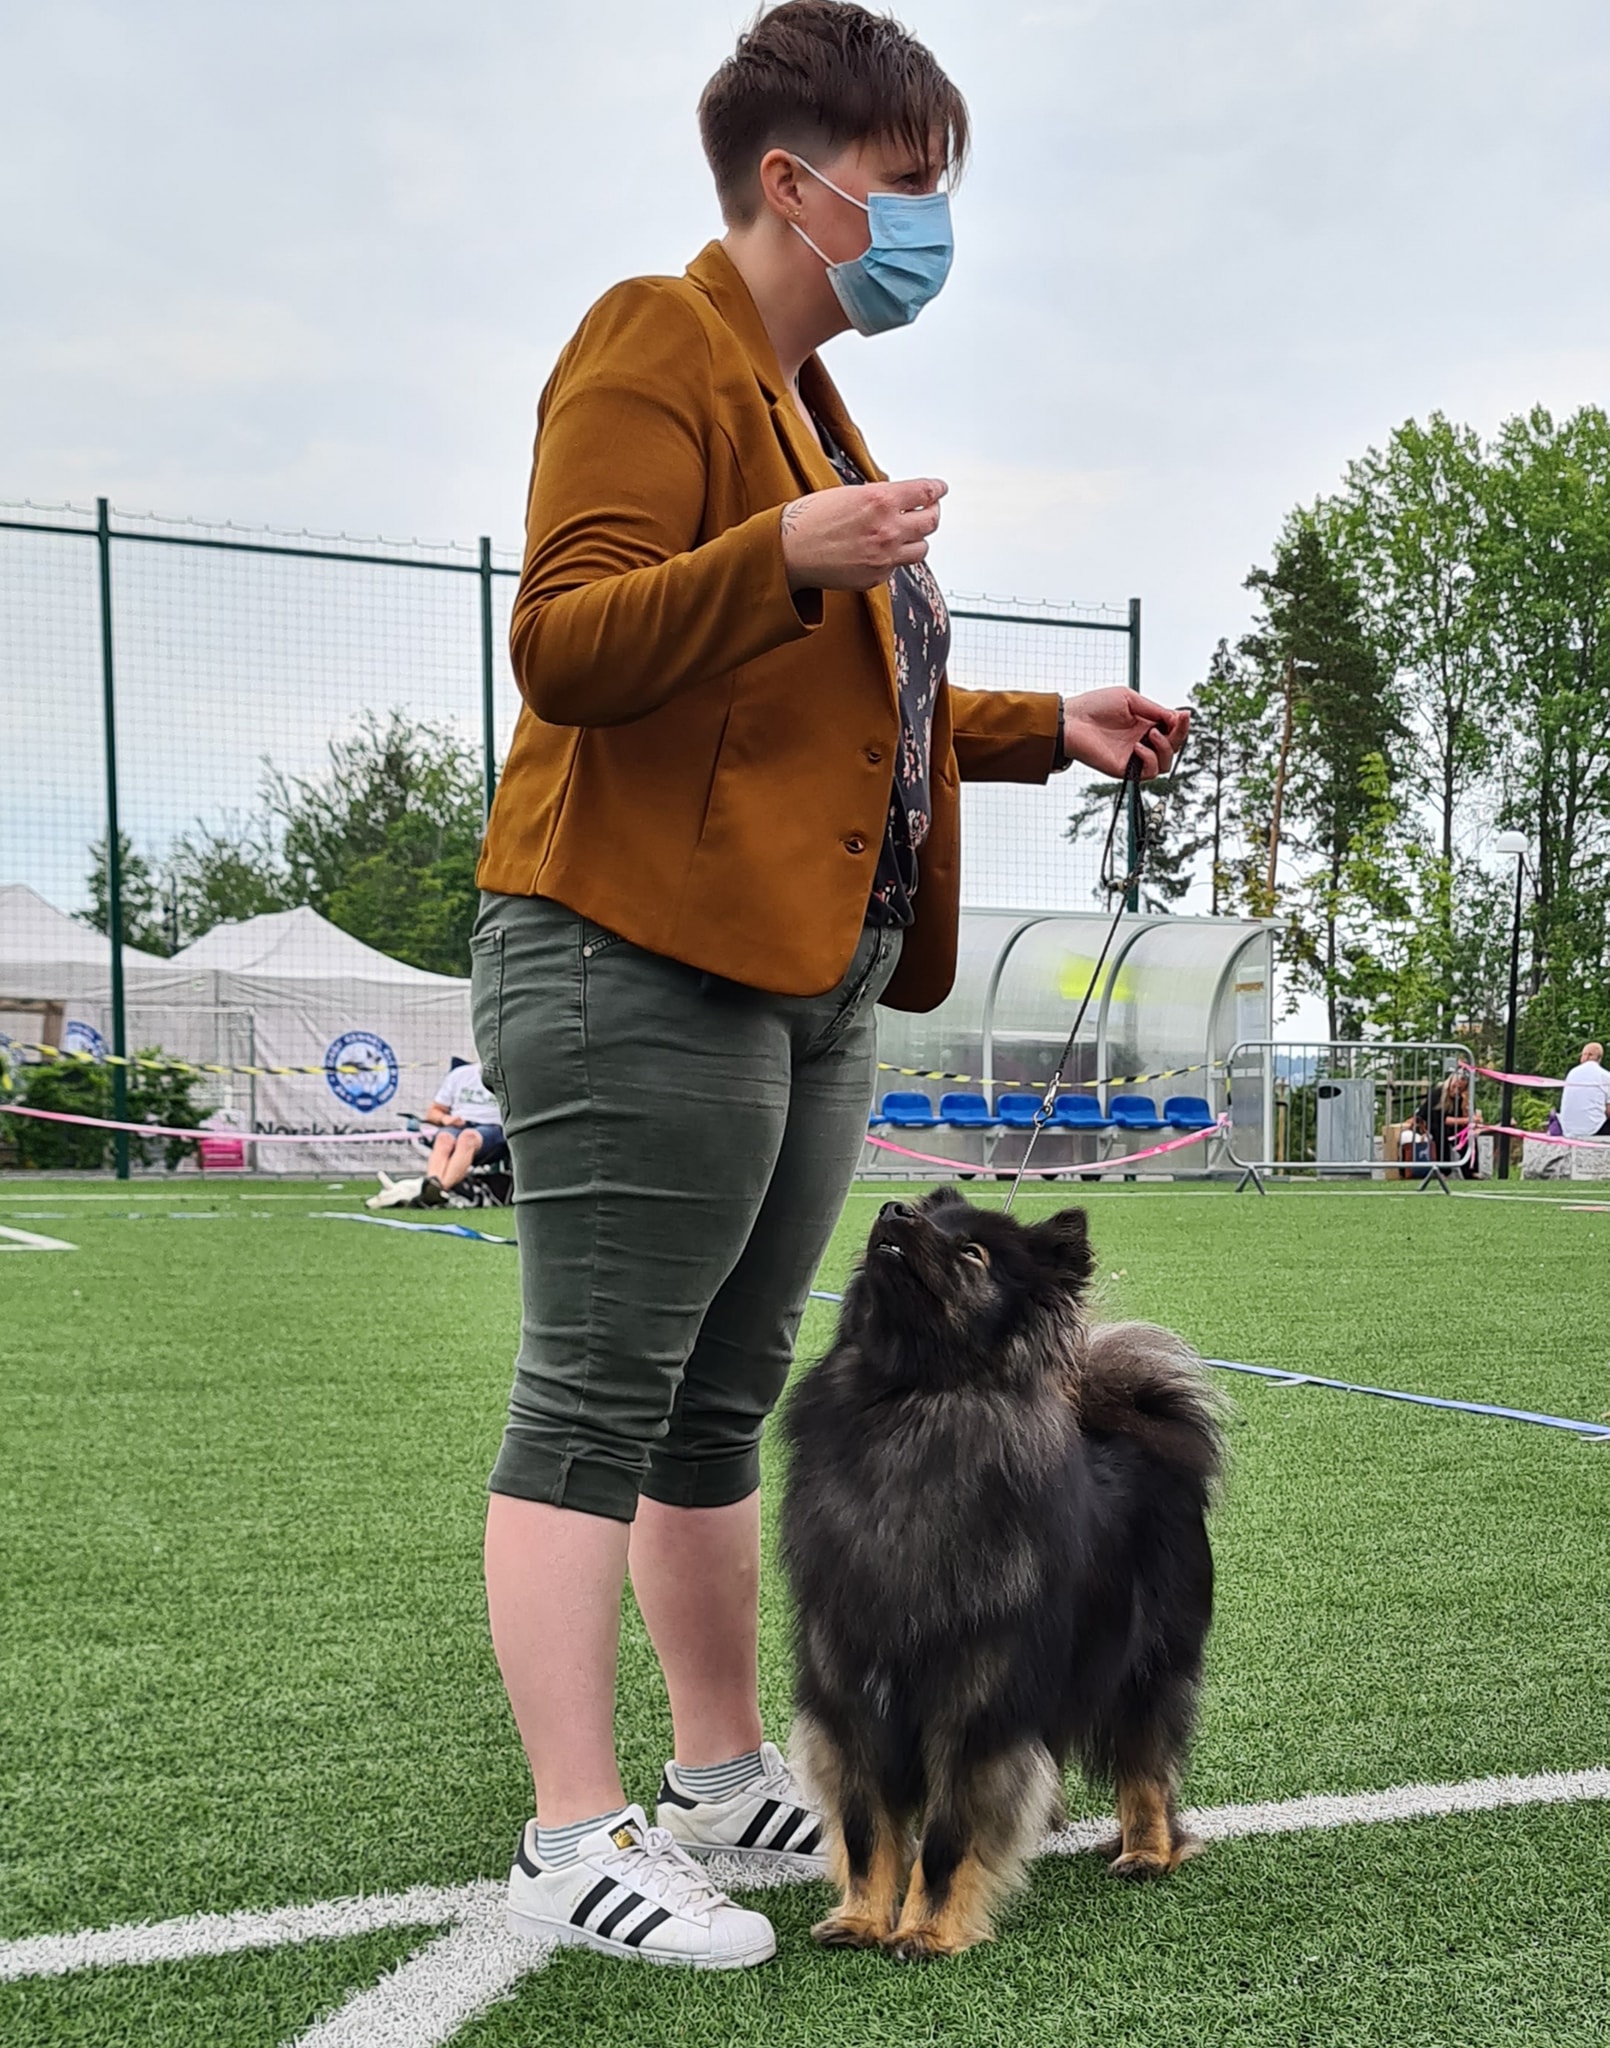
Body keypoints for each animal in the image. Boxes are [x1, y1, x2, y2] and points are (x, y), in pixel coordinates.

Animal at [780, 1188, 1222, 1959]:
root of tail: (1143, 1428)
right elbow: (866, 1831)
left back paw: (1147, 1852)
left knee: (1148, 1769)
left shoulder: (975, 1709)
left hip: (1147, 1670)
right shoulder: (850, 1700)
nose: (893, 1209)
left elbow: (948, 1839)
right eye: (926, 1219)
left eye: (973, 1254)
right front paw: (861, 1919)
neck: (911, 1402)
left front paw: (927, 1931)